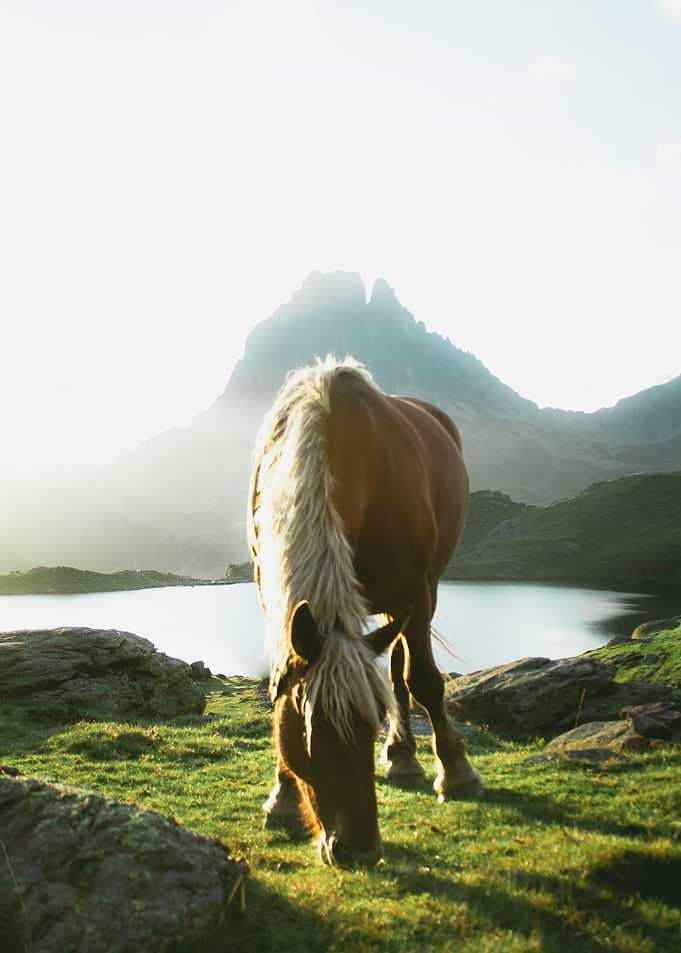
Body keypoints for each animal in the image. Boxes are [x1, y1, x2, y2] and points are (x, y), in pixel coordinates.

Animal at [247, 356, 482, 867]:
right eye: (312, 729)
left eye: (371, 722)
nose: (359, 849)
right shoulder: (269, 593)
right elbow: (280, 684)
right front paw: (282, 797)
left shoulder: (415, 590)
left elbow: (423, 681)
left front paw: (457, 773)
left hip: (416, 597)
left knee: (401, 670)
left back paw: (406, 758)